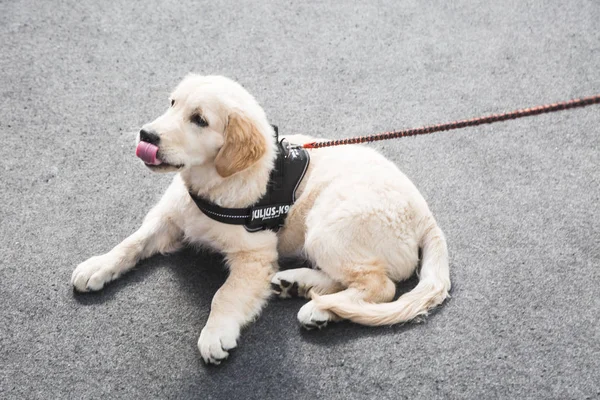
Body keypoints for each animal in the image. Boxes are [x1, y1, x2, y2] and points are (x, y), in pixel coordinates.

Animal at [71, 75, 450, 366]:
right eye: (172, 103)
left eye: (199, 119)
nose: (146, 135)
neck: (213, 184)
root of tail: (427, 217)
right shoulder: (169, 218)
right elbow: (131, 242)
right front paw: (98, 265)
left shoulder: (254, 255)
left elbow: (225, 294)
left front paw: (216, 332)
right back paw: (302, 288)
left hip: (329, 221)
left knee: (380, 286)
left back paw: (319, 306)